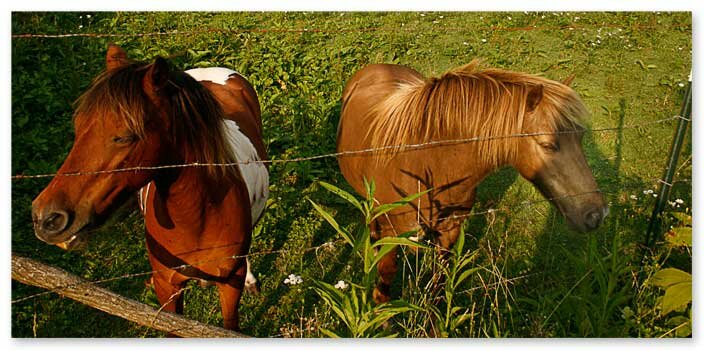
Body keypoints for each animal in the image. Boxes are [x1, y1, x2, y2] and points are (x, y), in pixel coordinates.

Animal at [30, 44, 268, 330]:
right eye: (78, 128)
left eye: (124, 137)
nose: (46, 218)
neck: (199, 220)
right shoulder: (168, 288)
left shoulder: (229, 286)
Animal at [338, 60, 608, 304]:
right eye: (548, 145)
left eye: (581, 136)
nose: (597, 214)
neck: (423, 162)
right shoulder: (390, 233)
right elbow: (386, 277)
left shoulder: (450, 231)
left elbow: (440, 280)